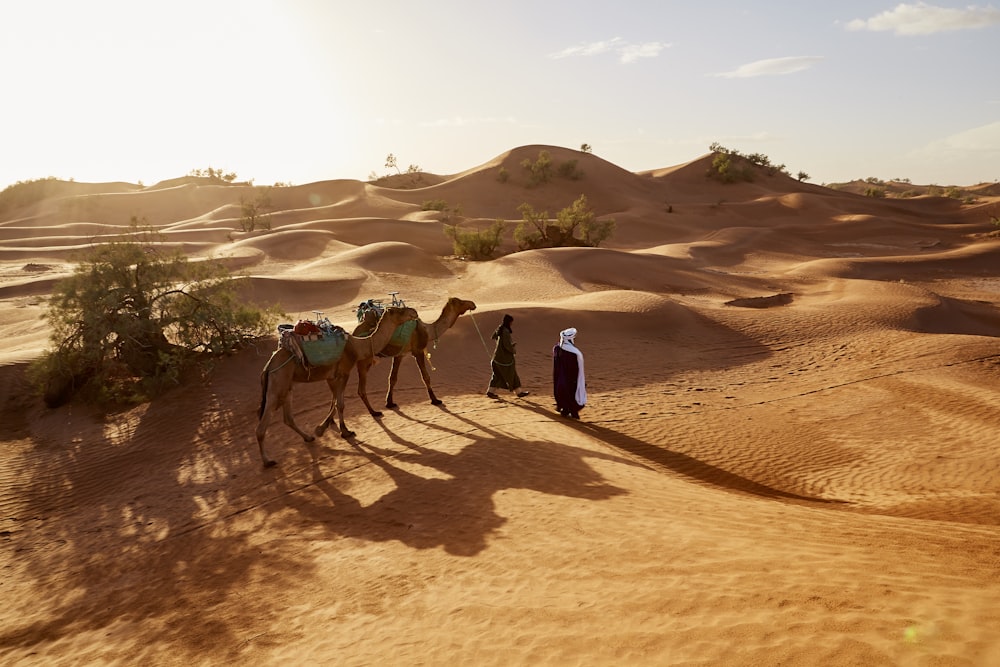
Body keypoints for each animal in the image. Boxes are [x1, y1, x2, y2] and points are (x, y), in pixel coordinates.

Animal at [258, 306, 418, 468]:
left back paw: (308, 437)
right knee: (262, 425)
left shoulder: (332, 376)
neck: (357, 346)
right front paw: (345, 431)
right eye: (399, 311)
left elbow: (334, 401)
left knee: (288, 418)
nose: (414, 312)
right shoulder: (344, 372)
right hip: (277, 384)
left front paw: (323, 428)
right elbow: (340, 404)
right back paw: (267, 461)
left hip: (287, 386)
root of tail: (268, 366)